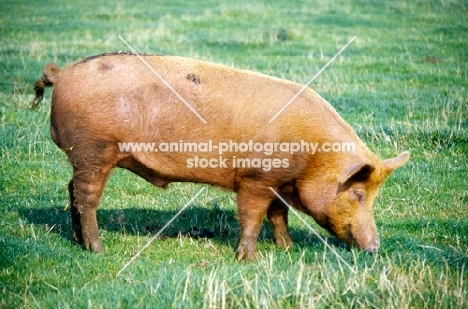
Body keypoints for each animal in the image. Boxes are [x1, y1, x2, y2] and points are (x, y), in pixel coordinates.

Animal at [30, 51, 410, 258]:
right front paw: (249, 259)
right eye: (358, 193)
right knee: (86, 197)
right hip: (93, 149)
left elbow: (278, 215)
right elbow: (253, 216)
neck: (314, 154)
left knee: (71, 190)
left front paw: (286, 249)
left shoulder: (277, 182)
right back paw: (98, 248)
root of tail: (62, 73)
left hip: (85, 156)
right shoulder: (255, 178)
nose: (375, 248)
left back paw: (79, 242)